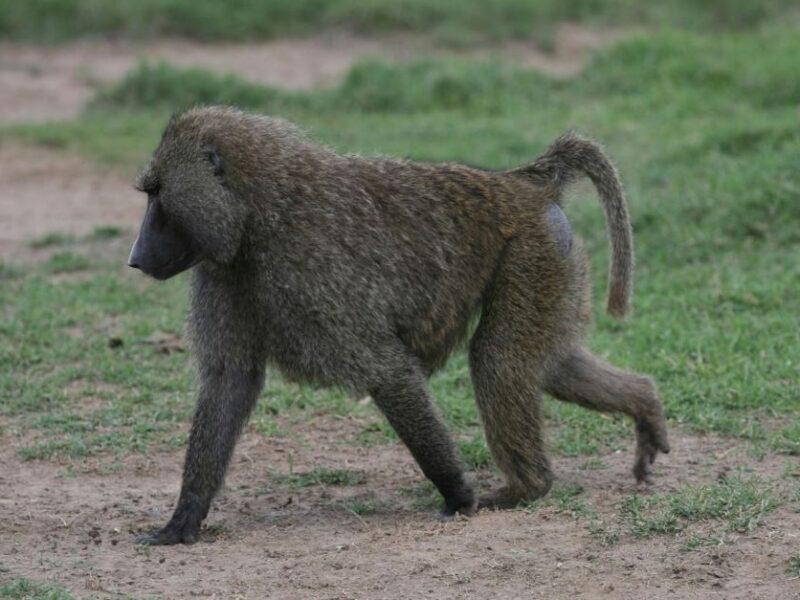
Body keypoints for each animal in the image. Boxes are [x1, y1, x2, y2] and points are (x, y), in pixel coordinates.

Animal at [128, 106, 669, 545]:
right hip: (555, 259)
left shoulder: (313, 268)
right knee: (551, 365)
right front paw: (183, 519)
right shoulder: (224, 271)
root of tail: (522, 184)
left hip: (533, 252)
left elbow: (386, 371)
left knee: (498, 361)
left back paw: (527, 489)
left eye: (158, 197)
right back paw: (644, 404)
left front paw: (458, 495)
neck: (260, 209)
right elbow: (229, 381)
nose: (135, 258)